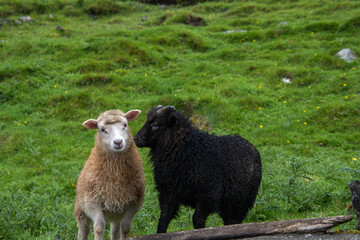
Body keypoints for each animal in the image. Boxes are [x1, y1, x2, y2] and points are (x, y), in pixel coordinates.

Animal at [74, 109, 145, 239]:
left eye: (125, 125)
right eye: (102, 129)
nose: (118, 142)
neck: (115, 172)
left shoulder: (134, 203)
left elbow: (126, 227)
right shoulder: (91, 202)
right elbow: (99, 228)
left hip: (115, 214)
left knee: (115, 231)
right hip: (81, 210)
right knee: (83, 230)